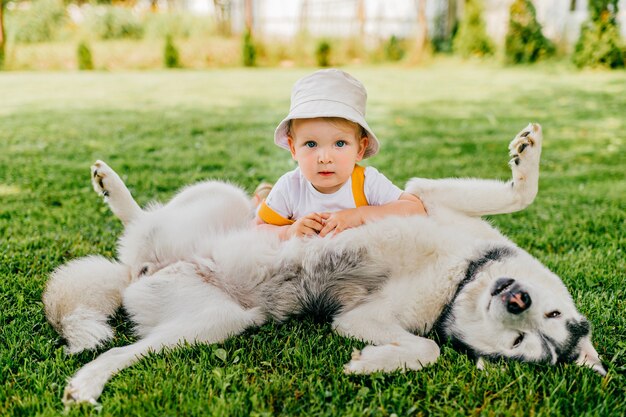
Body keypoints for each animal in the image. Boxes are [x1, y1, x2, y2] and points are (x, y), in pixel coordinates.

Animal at [40, 122, 604, 404]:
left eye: (521, 344)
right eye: (551, 315)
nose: (517, 298)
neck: (460, 278)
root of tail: (137, 271)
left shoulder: (359, 319)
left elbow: (427, 350)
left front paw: (370, 364)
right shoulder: (426, 197)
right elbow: (520, 194)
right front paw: (527, 157)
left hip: (215, 321)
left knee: (124, 350)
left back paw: (88, 382)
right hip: (222, 198)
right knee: (148, 220)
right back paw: (112, 187)